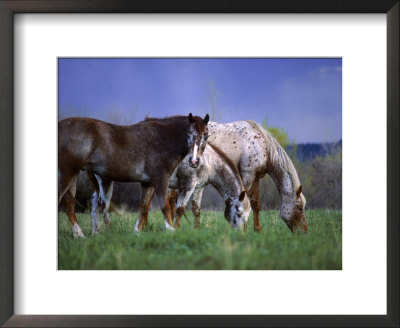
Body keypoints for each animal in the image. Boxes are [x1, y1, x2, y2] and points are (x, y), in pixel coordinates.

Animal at [59, 114, 211, 237]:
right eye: (188, 135)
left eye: (206, 136)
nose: (194, 161)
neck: (162, 139)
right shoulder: (160, 180)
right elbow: (164, 206)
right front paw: (171, 230)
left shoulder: (148, 183)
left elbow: (143, 207)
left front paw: (137, 232)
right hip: (67, 172)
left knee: (71, 202)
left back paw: (81, 234)